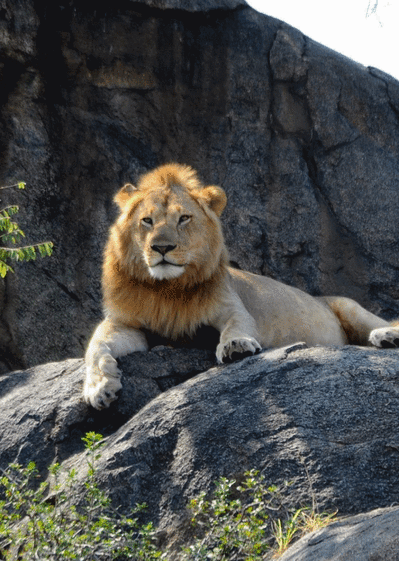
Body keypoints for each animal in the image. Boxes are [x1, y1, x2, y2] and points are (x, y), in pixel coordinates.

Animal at [83, 162, 399, 406]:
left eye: (184, 218)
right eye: (147, 220)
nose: (162, 247)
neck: (166, 290)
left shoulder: (231, 307)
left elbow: (238, 325)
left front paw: (235, 345)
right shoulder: (126, 322)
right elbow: (95, 347)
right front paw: (99, 388)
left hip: (350, 307)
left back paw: (385, 336)